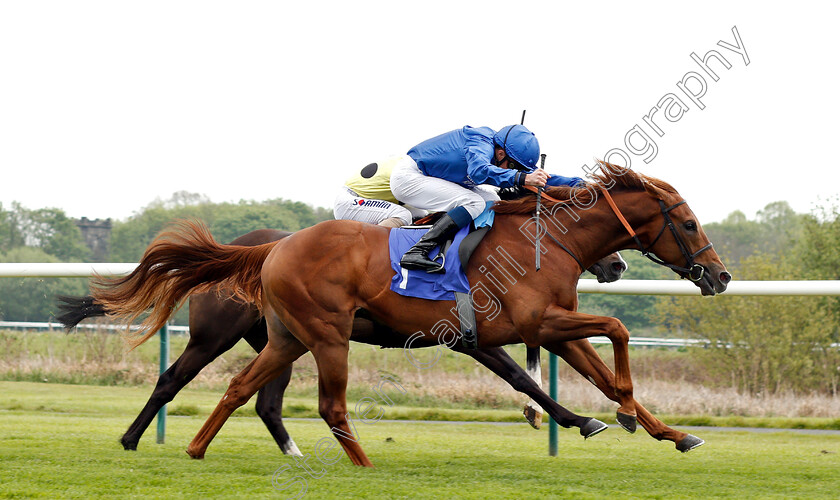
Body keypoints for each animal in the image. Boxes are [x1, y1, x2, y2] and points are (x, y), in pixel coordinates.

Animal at [87, 168, 728, 468]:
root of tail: (274, 247)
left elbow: (596, 372)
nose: (719, 277)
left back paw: (198, 449)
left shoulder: (546, 326)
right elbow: (613, 336)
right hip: (319, 335)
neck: (548, 240)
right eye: (688, 223)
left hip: (287, 337)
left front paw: (668, 432)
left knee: (244, 388)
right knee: (320, 403)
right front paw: (619, 413)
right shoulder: (531, 326)